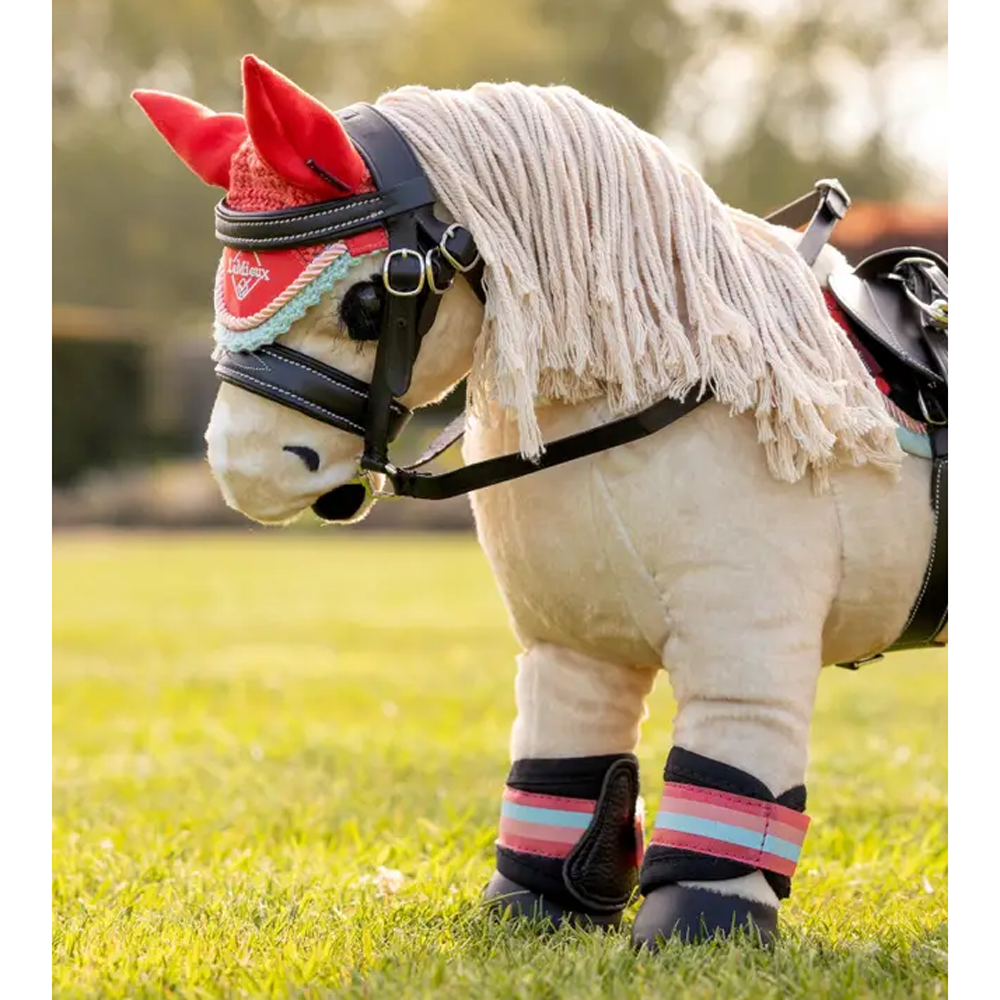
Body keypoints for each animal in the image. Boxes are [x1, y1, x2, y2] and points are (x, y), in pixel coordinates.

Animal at [133, 55, 948, 948]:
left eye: (369, 299)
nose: (242, 467)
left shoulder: (747, 639)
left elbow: (731, 773)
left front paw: (698, 928)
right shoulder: (570, 638)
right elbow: (565, 768)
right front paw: (532, 910)